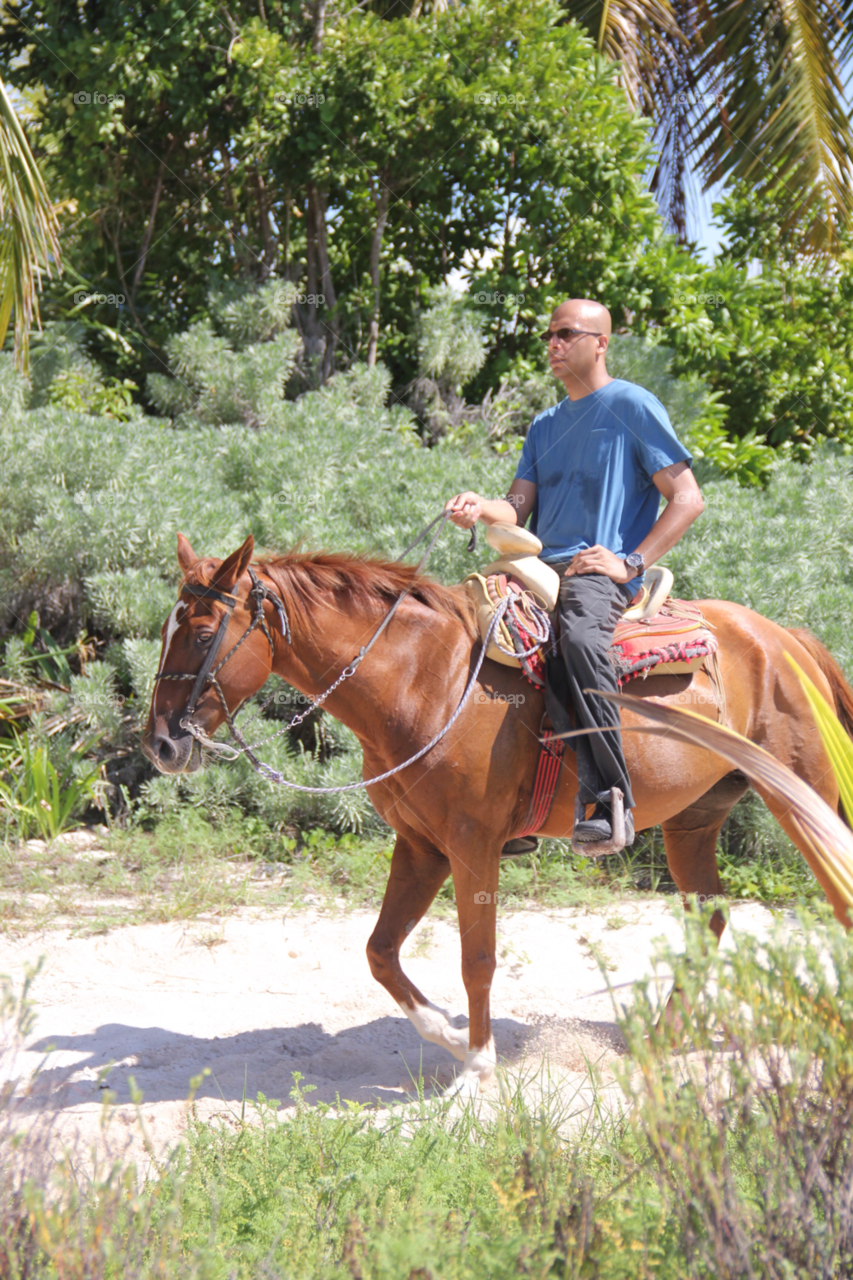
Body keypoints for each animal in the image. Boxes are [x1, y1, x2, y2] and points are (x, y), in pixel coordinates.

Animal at [140, 535, 850, 1095]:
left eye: (201, 634)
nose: (160, 745)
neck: (426, 678)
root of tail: (784, 639)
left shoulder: (472, 844)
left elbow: (476, 958)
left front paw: (477, 1067)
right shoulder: (420, 845)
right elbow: (380, 952)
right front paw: (452, 1036)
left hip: (804, 798)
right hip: (694, 821)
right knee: (710, 919)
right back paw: (657, 1041)